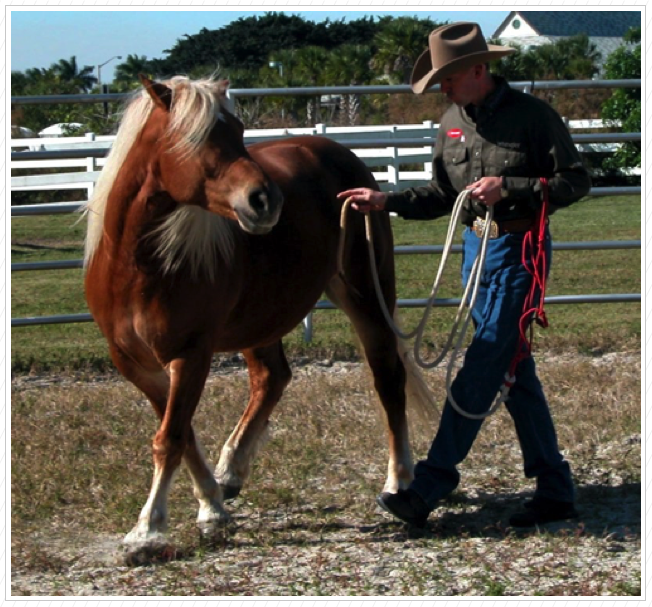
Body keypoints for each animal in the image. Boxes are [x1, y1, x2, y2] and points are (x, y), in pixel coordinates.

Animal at [84, 73, 432, 560]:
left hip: (365, 295)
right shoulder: (134, 365)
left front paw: (147, 531)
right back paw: (231, 471)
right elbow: (182, 432)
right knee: (272, 377)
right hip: (261, 318)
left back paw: (399, 481)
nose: (266, 200)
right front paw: (212, 507)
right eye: (196, 136)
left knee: (387, 380)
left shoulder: (191, 355)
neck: (137, 267)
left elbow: (170, 437)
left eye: (239, 130)